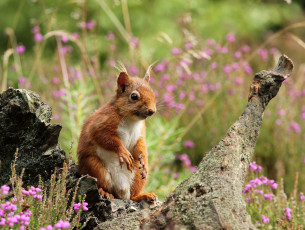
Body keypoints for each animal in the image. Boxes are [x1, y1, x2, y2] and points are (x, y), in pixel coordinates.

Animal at [76, 68, 157, 201]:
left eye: (153, 94)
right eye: (134, 96)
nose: (152, 111)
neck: (131, 120)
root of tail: (122, 189)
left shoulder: (140, 133)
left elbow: (141, 146)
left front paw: (144, 161)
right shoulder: (101, 124)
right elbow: (106, 138)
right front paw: (123, 152)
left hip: (138, 178)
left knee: (132, 196)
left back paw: (143, 195)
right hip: (95, 167)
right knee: (103, 185)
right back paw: (104, 192)